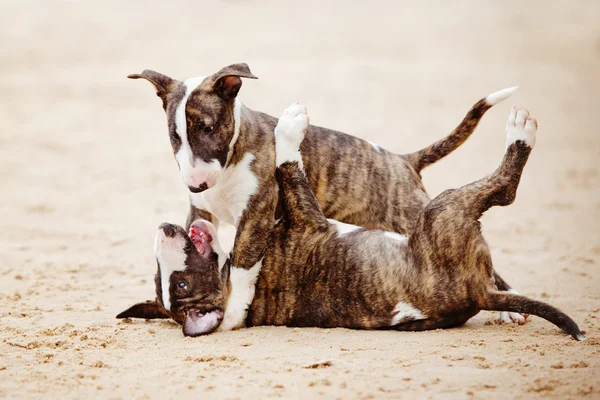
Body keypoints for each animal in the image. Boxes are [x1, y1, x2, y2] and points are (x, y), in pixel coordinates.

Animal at [118, 104, 584, 340]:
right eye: (180, 285)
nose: (163, 231)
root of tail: (477, 295)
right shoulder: (309, 217)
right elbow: (288, 164)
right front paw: (288, 131)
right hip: (444, 210)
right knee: (503, 188)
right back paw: (520, 131)